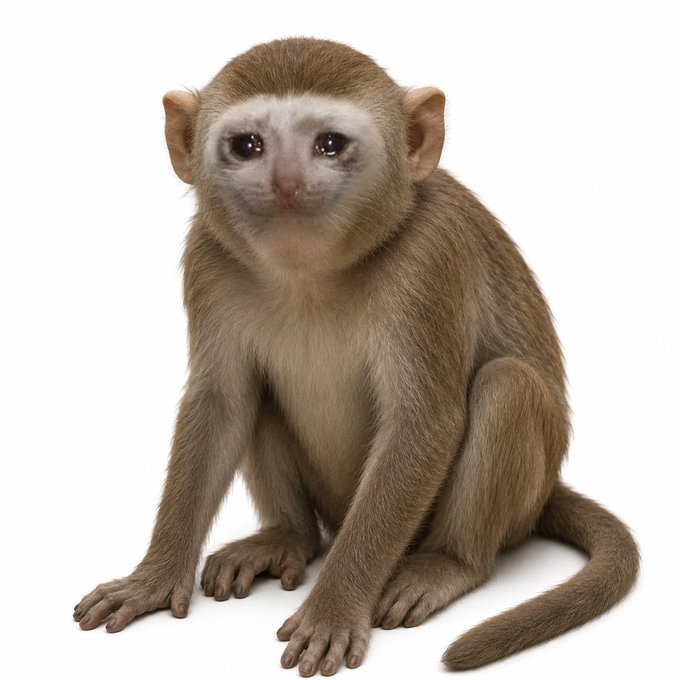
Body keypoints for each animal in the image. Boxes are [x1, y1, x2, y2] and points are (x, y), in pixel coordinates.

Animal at [73, 38, 639, 675]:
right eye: (248, 145)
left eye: (329, 144)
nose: (286, 183)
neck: (311, 278)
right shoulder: (208, 256)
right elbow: (220, 404)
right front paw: (153, 577)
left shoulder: (428, 260)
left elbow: (422, 424)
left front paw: (334, 608)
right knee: (258, 400)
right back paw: (287, 536)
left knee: (507, 386)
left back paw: (450, 563)